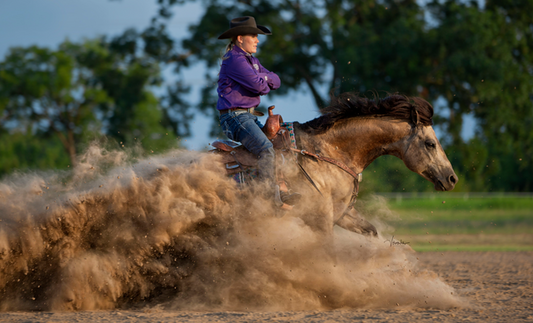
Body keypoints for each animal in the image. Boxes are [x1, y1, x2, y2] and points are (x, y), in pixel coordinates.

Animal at [212, 92, 458, 239]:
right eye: (430, 143)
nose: (452, 178)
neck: (327, 153)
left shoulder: (342, 214)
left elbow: (371, 232)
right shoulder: (320, 217)